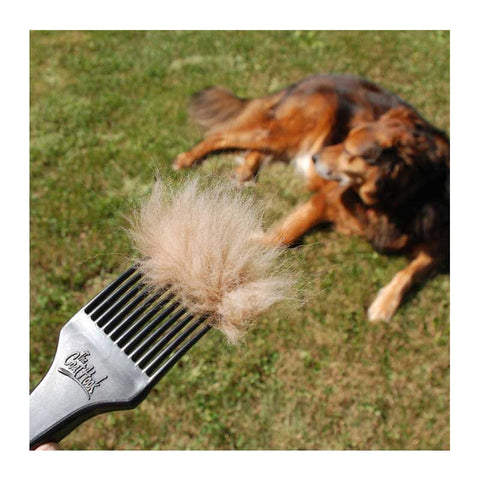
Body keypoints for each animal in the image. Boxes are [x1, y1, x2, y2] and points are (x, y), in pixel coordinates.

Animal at [173, 74, 450, 322]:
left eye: (350, 152)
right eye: (345, 141)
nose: (315, 157)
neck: (398, 202)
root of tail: (317, 77)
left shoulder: (438, 249)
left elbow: (409, 273)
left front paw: (384, 304)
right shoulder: (326, 200)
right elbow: (284, 234)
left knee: (256, 149)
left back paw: (245, 171)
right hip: (289, 133)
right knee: (221, 136)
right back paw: (187, 158)